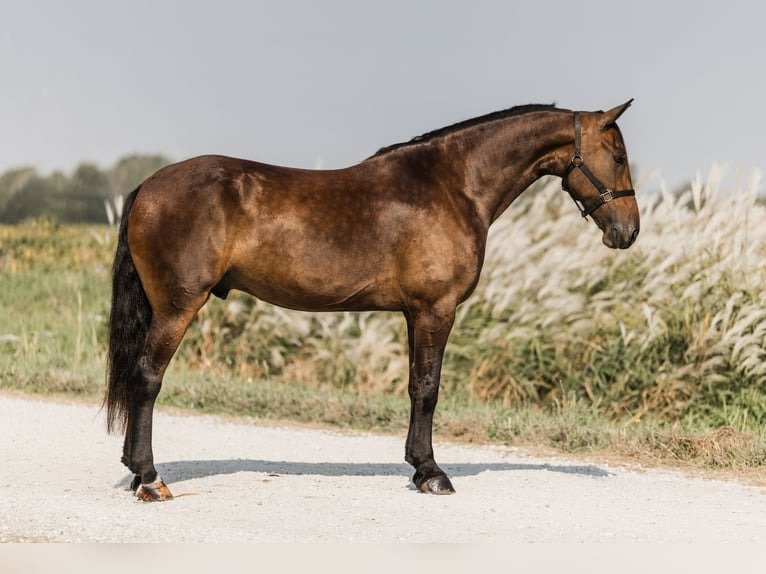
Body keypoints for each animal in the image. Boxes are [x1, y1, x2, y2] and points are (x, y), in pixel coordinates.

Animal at [105, 101, 639, 501]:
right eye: (617, 156)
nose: (628, 231)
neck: (453, 185)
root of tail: (149, 186)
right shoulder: (436, 309)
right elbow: (428, 389)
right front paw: (432, 473)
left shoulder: (413, 314)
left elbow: (415, 387)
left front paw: (418, 466)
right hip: (177, 308)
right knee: (147, 378)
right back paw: (149, 478)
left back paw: (136, 471)